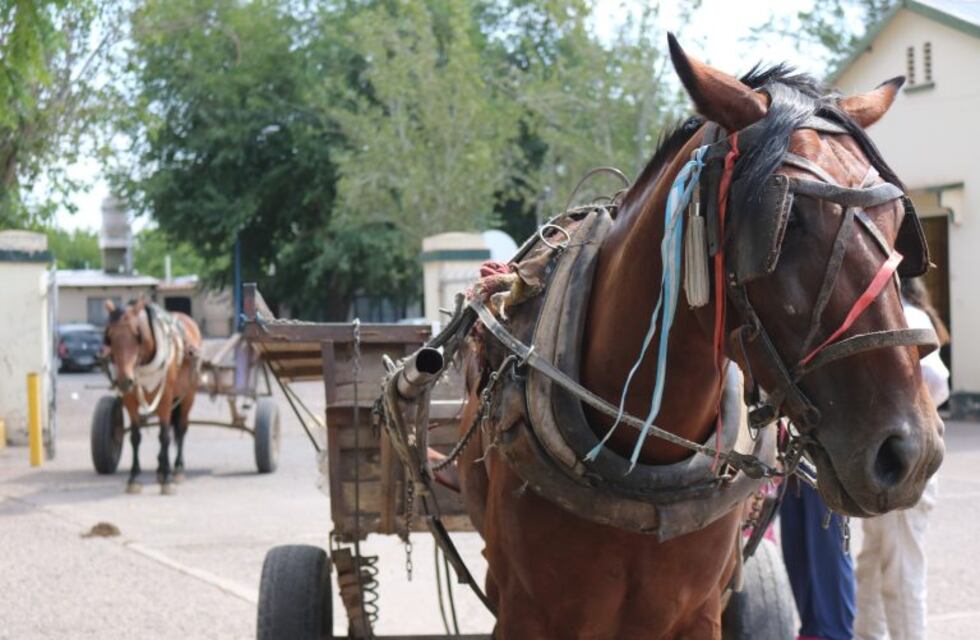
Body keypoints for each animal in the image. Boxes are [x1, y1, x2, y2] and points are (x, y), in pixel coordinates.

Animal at [104, 298, 202, 495]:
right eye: (109, 337)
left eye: (137, 336)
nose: (124, 380)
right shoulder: (130, 398)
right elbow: (135, 437)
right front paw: (134, 477)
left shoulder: (165, 396)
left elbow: (164, 436)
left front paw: (168, 479)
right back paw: (160, 468)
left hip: (188, 395)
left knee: (181, 429)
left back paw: (177, 468)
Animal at [456, 36, 945, 639]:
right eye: (788, 222)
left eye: (899, 219)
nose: (912, 452)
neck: (641, 455)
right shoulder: (528, 613)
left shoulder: (697, 611)